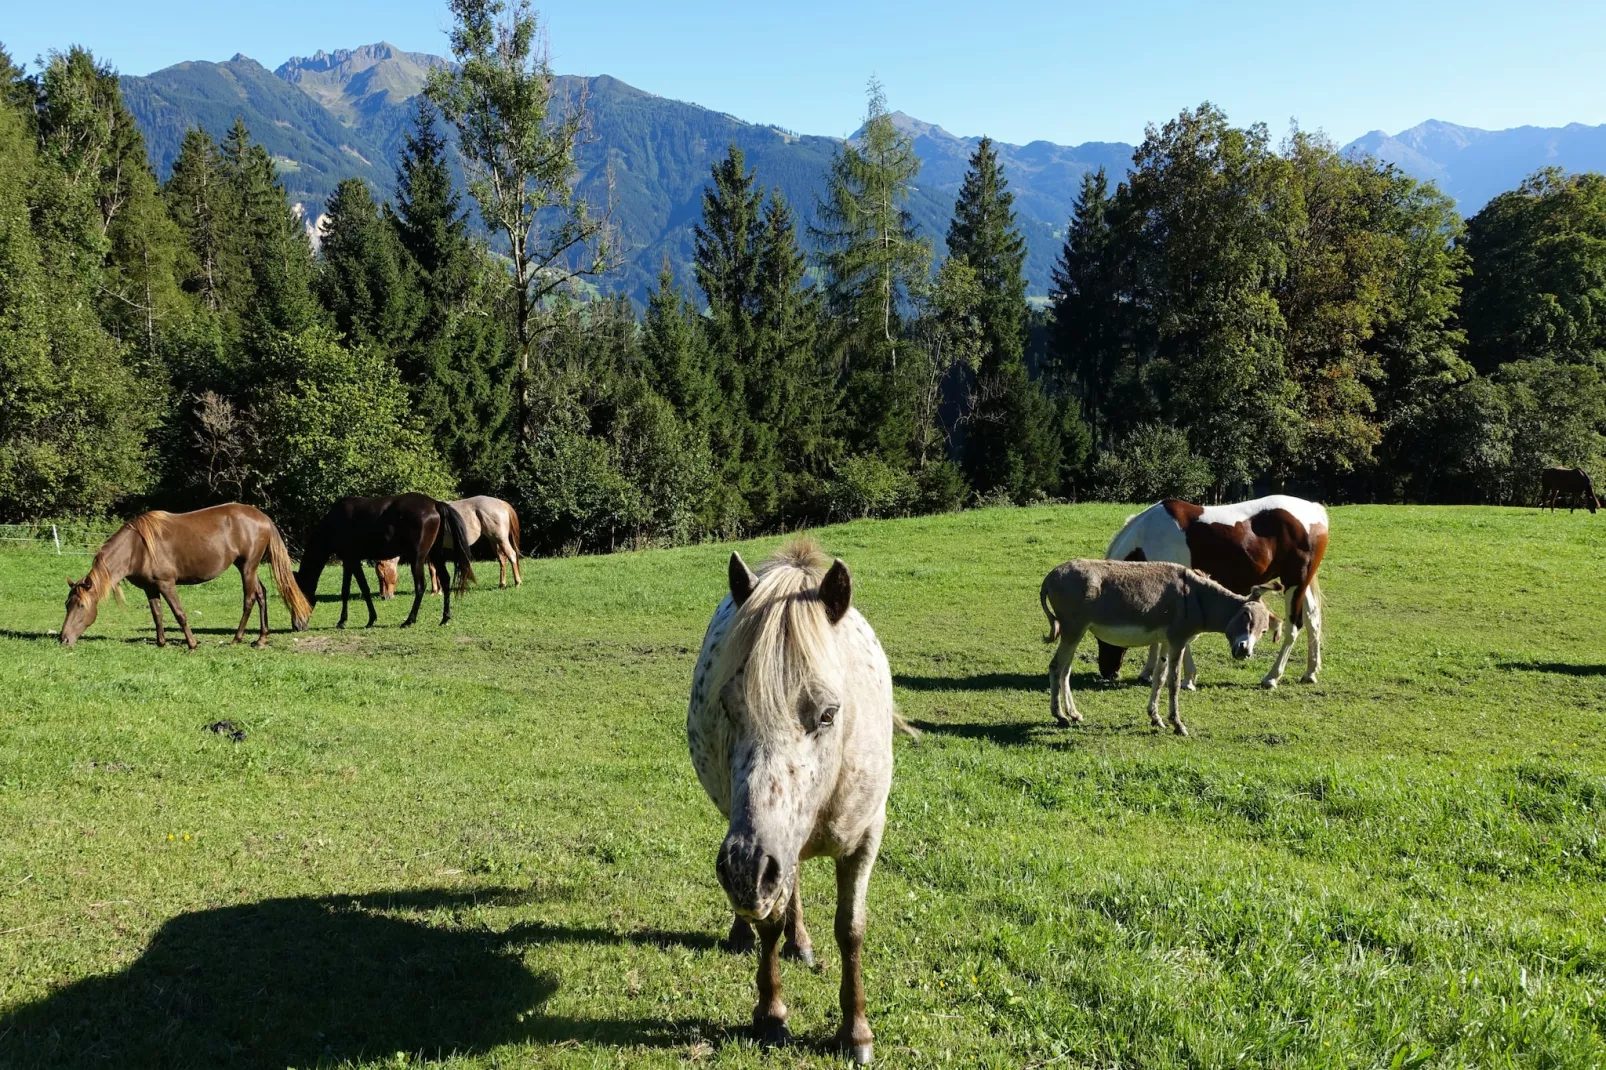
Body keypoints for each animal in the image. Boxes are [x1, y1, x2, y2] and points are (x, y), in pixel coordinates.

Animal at [60, 501, 309, 645]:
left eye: (80, 606)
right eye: (66, 604)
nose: (64, 639)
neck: (137, 548)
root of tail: (264, 518)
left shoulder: (167, 584)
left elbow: (179, 613)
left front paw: (191, 644)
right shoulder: (150, 588)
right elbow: (157, 615)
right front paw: (161, 643)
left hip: (247, 567)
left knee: (249, 600)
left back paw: (237, 638)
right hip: (247, 567)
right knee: (261, 594)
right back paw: (260, 639)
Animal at [295, 491, 472, 626]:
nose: (297, 626)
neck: (334, 522)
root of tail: (435, 504)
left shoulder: (352, 560)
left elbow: (363, 589)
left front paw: (369, 619)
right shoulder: (348, 561)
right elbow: (346, 590)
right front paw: (343, 621)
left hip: (418, 557)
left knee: (420, 586)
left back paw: (409, 620)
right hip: (435, 553)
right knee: (445, 579)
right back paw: (445, 618)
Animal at [1104, 494, 1329, 687]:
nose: (1108, 672)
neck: (1147, 538)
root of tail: (1314, 511)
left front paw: (1188, 678)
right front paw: (1148, 672)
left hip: (1294, 584)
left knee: (1294, 627)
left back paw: (1272, 677)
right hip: (1301, 585)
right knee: (1313, 621)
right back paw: (1310, 673)